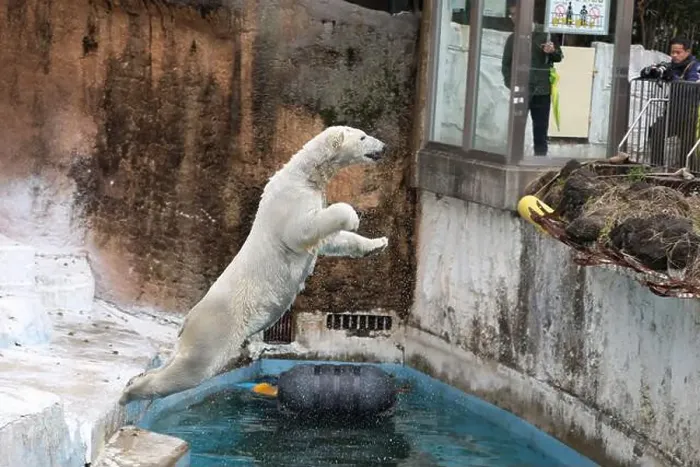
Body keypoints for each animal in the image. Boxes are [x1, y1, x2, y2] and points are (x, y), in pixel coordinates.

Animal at [119, 125, 389, 405]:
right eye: (363, 137)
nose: (384, 147)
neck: (304, 173)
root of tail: (189, 319)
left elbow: (331, 241)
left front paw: (379, 243)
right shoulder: (289, 202)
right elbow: (301, 230)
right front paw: (353, 218)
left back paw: (136, 380)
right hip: (216, 328)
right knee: (192, 369)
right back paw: (129, 393)